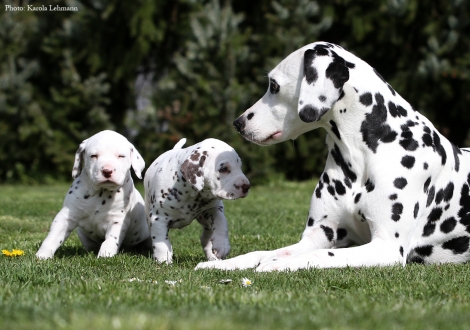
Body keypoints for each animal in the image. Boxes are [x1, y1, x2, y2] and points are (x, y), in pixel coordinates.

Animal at [35, 130, 150, 260]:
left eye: (121, 156)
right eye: (93, 156)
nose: (107, 171)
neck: (101, 193)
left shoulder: (117, 220)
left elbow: (110, 240)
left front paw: (105, 256)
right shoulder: (66, 215)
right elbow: (53, 237)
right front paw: (43, 254)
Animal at [196, 41, 470, 272]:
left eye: (274, 85)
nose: (238, 123)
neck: (362, 155)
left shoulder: (386, 247)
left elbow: (316, 255)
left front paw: (277, 265)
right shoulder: (317, 236)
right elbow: (262, 252)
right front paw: (222, 264)